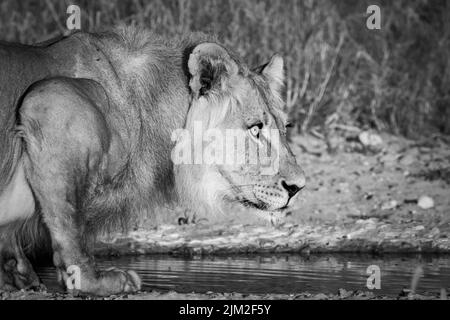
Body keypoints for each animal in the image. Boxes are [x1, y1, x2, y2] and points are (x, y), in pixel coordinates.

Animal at [0, 25, 304, 296]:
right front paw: (90, 281)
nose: (297, 187)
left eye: (284, 128)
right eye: (255, 129)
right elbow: (69, 222)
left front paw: (19, 277)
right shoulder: (52, 103)